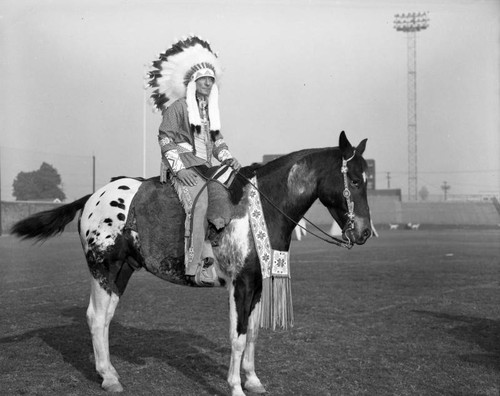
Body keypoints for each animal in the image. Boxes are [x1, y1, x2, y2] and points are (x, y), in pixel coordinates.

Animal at [10, 132, 372, 396]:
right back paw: (109, 379)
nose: (364, 232)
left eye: (366, 179)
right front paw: (235, 387)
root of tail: (93, 197)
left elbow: (253, 333)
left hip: (122, 271)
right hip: (104, 268)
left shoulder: (256, 284)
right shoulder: (240, 285)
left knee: (106, 317)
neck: (259, 209)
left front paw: (253, 381)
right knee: (96, 318)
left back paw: (109, 371)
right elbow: (238, 335)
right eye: (354, 180)